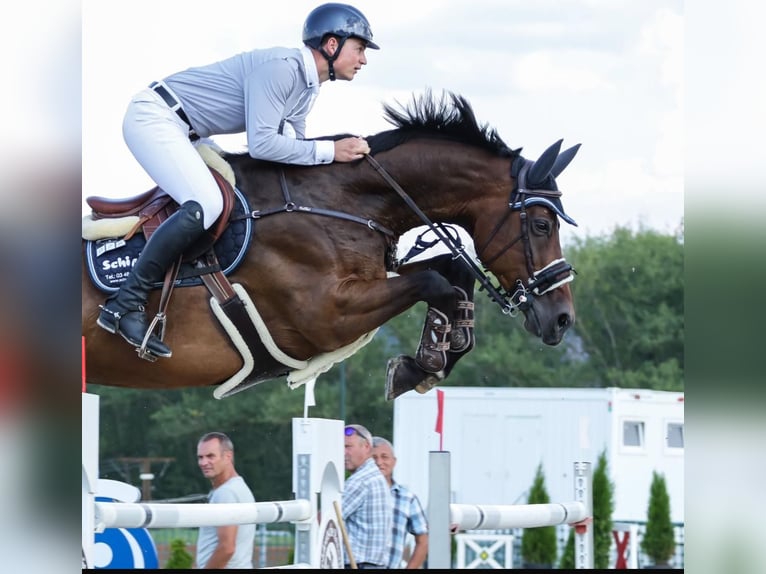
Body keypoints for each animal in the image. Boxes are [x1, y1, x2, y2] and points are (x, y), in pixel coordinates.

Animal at [81, 92, 580, 402]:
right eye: (541, 224)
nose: (562, 319)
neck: (342, 201)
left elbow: (450, 272)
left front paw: (438, 353)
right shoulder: (329, 315)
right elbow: (436, 281)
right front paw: (423, 362)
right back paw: (128, 321)